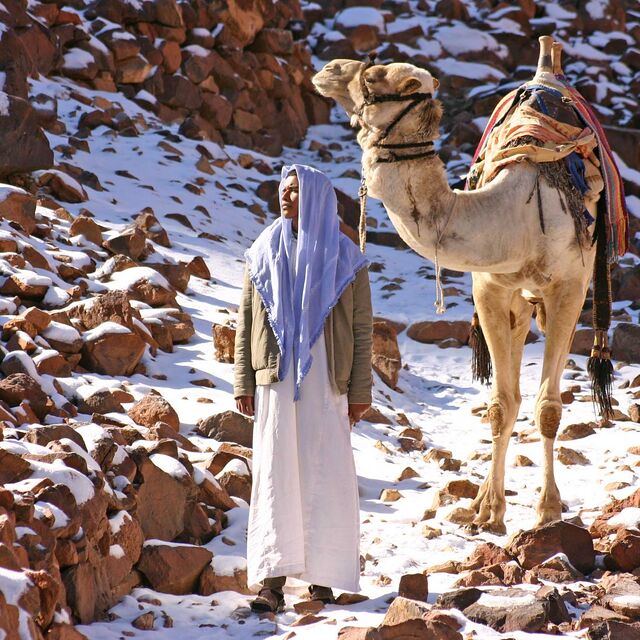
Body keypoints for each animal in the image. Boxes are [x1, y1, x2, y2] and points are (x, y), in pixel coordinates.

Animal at [314, 37, 604, 532]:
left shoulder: (568, 287)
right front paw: (488, 511)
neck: (515, 216)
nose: (328, 68)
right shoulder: (490, 289)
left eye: (373, 76)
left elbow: (548, 407)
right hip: (520, 301)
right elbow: (501, 404)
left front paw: (547, 511)